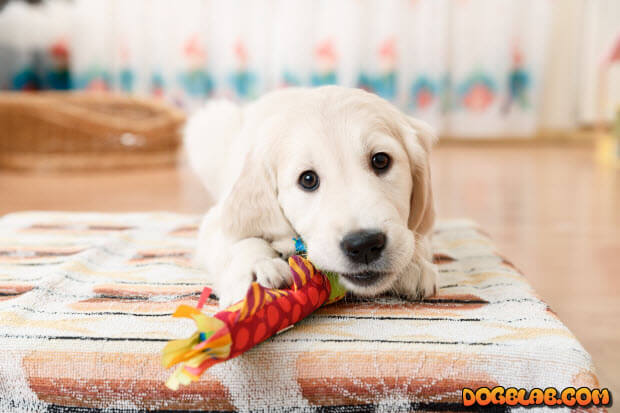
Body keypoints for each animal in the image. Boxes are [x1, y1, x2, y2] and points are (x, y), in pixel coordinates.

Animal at [186, 86, 438, 306]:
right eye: (308, 179)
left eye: (381, 160)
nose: (364, 244)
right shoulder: (218, 219)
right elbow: (241, 239)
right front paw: (256, 268)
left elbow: (418, 231)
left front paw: (414, 263)